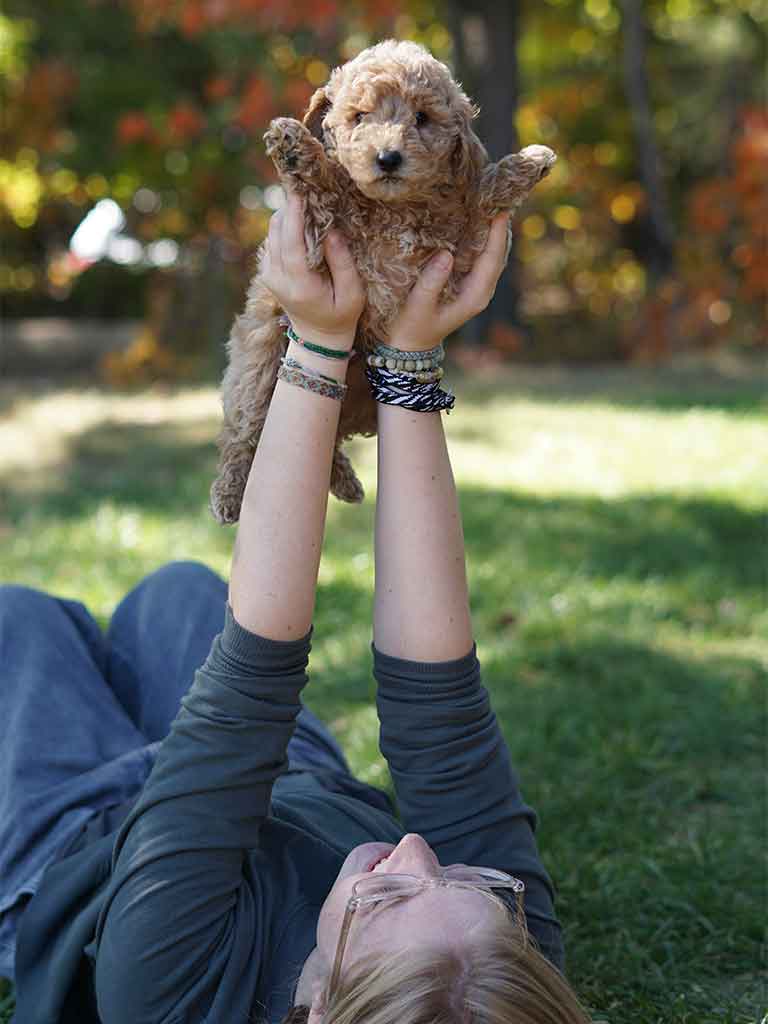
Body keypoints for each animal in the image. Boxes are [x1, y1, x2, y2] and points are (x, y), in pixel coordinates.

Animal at [210, 37, 557, 528]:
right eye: (359, 117)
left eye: (422, 118)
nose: (388, 157)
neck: (393, 209)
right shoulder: (320, 242)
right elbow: (329, 190)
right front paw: (295, 146)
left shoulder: (451, 258)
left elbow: (474, 204)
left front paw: (526, 165)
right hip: (254, 369)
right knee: (245, 431)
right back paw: (228, 492)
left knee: (328, 434)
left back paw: (344, 481)